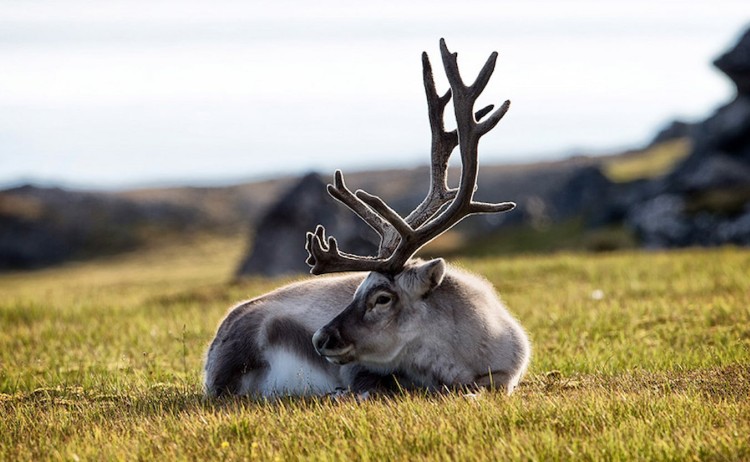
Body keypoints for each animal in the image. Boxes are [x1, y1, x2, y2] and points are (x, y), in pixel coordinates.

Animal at [203, 39, 530, 398]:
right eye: (356, 290)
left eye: (382, 298)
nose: (320, 337)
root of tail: (213, 350)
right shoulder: (360, 370)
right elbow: (376, 385)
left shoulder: (506, 375)